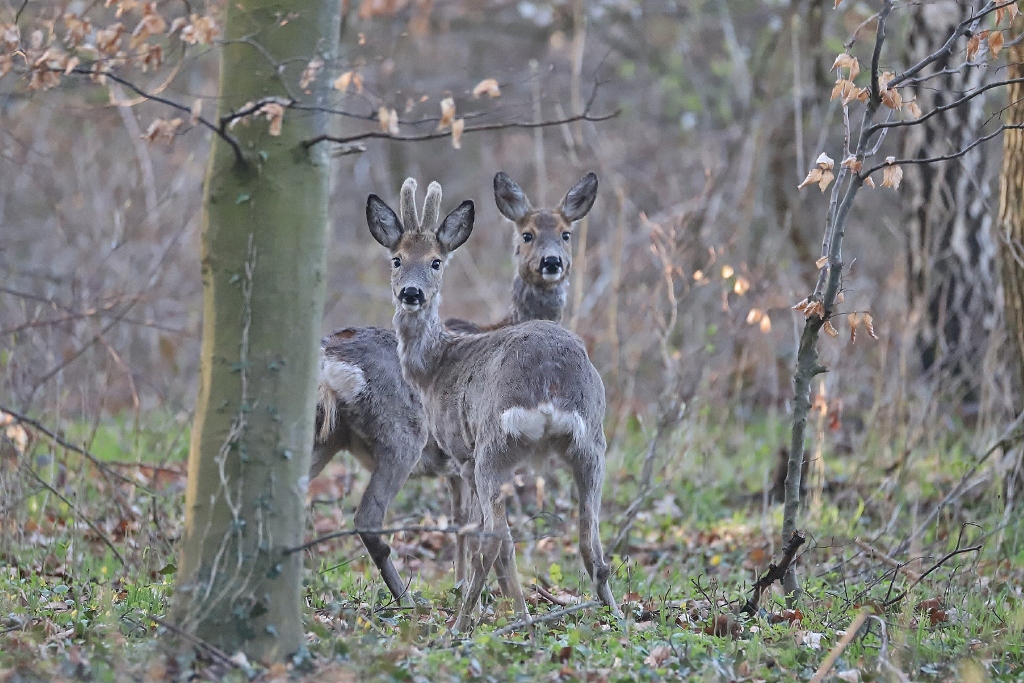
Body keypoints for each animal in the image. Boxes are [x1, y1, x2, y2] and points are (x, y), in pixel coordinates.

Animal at [311, 172, 598, 602]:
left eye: (566, 233)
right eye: (526, 234)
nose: (552, 263)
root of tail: (331, 360)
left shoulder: (455, 467)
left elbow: (460, 519)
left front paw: (463, 583)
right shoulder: (463, 458)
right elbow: (475, 526)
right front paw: (478, 590)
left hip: (322, 435)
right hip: (402, 437)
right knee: (368, 518)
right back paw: (407, 599)